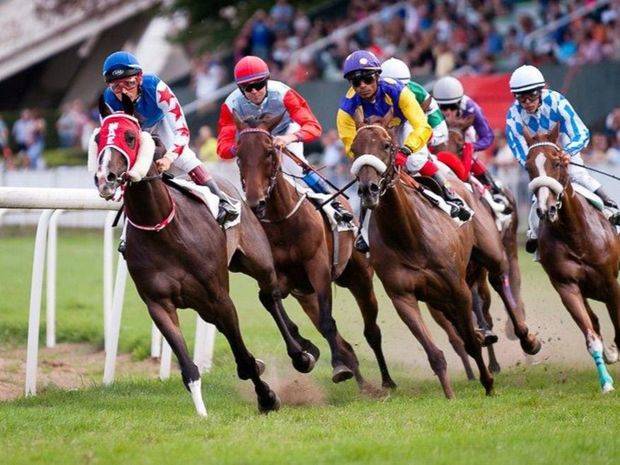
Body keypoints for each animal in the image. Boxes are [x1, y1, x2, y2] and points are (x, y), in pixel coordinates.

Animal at [94, 96, 318, 416]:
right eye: (98, 137)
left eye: (130, 136)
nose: (106, 178)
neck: (164, 230)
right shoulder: (158, 304)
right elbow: (189, 367)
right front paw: (202, 412)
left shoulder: (220, 297)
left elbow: (243, 357)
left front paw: (267, 397)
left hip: (257, 263)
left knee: (270, 296)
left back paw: (302, 352)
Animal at [232, 111, 398, 388]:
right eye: (238, 154)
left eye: (269, 151)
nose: (256, 203)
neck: (282, 222)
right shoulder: (275, 274)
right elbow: (270, 301)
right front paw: (304, 352)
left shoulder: (317, 267)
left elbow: (328, 322)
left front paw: (337, 365)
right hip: (304, 293)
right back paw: (360, 379)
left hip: (359, 277)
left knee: (371, 330)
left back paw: (385, 380)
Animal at [524, 124, 620, 392]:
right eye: (528, 166)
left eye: (557, 162)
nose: (545, 209)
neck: (575, 235)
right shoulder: (567, 286)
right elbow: (591, 335)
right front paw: (606, 382)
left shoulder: (611, 283)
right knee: (594, 321)